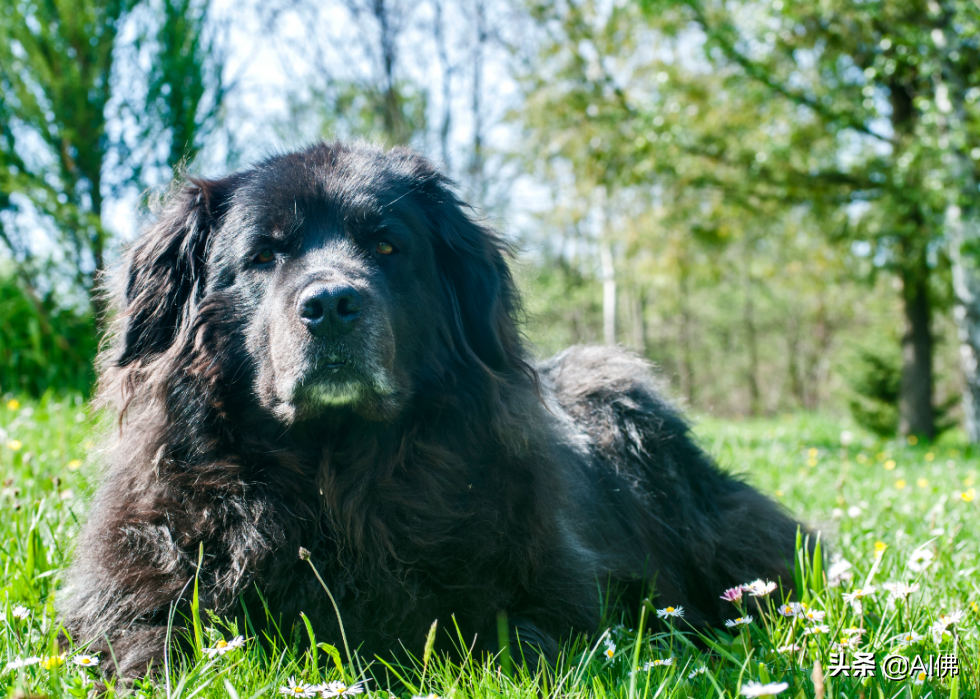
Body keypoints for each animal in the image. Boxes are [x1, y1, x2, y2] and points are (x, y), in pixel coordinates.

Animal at [59, 141, 804, 680]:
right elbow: (152, 646)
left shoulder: (544, 595)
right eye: (264, 255)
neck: (332, 476)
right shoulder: (134, 590)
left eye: (387, 246)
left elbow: (516, 645)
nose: (331, 303)